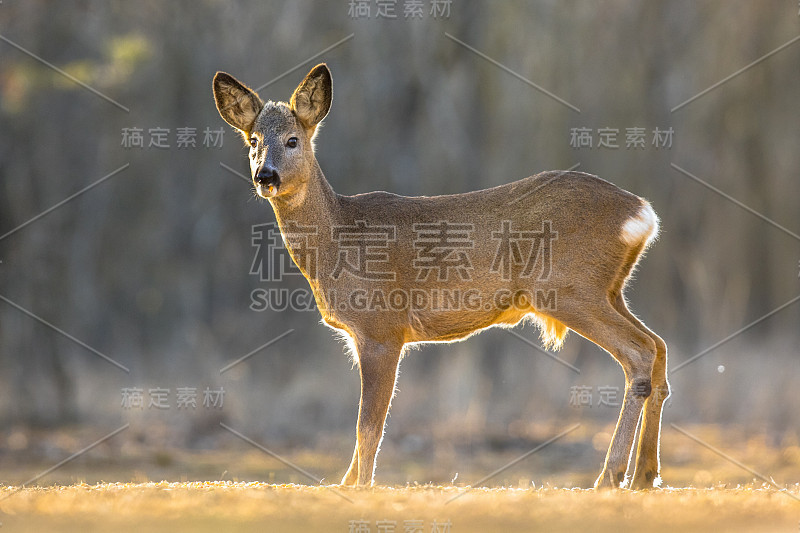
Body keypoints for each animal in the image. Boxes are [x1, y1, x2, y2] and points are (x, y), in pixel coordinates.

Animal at [211, 62, 668, 486]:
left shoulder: (381, 327)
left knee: (639, 353)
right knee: (659, 347)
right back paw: (644, 475)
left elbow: (368, 427)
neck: (338, 240)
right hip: (609, 289)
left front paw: (359, 486)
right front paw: (345, 483)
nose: (265, 175)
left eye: (293, 140)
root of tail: (642, 213)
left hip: (569, 287)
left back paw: (611, 476)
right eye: (253, 141)